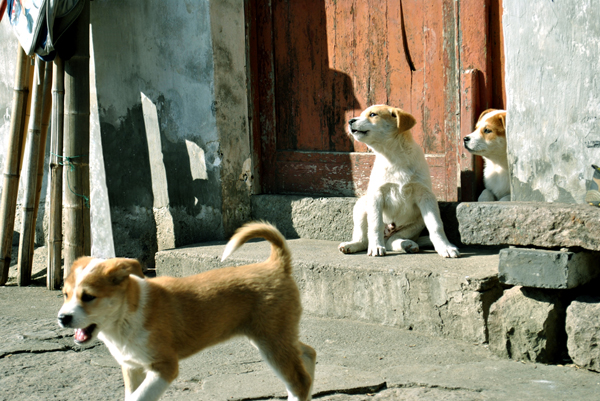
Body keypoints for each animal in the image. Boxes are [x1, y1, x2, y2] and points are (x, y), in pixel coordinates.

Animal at [58, 222, 316, 400]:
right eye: (65, 294)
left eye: (88, 297)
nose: (62, 318)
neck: (125, 315)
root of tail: (276, 264)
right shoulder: (132, 367)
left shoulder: (164, 367)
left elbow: (139, 398)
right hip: (275, 335)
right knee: (307, 354)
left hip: (271, 340)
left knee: (299, 380)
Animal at [338, 104, 460, 258]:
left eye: (372, 115)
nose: (350, 121)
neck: (394, 156)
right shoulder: (376, 194)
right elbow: (376, 224)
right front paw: (376, 247)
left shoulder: (426, 196)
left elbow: (436, 225)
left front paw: (445, 247)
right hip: (361, 205)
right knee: (363, 239)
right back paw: (352, 245)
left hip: (416, 222)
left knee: (392, 241)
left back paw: (408, 244)